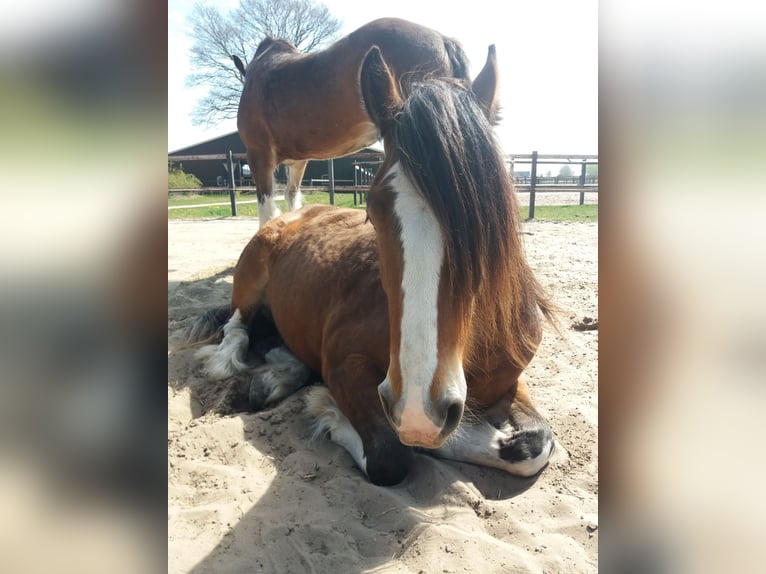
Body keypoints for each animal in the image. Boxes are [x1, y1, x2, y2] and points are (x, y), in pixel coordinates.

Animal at [190, 44, 560, 486]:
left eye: (486, 213)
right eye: (373, 210)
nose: (419, 409)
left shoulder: (512, 382)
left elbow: (534, 445)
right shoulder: (346, 364)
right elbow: (393, 452)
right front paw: (330, 411)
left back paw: (280, 373)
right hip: (249, 280)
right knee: (237, 329)